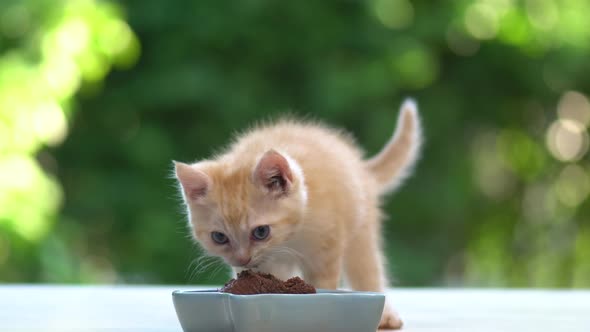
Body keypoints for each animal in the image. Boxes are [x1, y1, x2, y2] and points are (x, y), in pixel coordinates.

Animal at [173, 99, 424, 330]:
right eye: (219, 237)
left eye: (261, 232)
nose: (243, 259)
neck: (289, 237)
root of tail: (361, 169)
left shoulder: (326, 250)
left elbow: (325, 285)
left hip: (360, 228)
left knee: (368, 270)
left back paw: (385, 315)